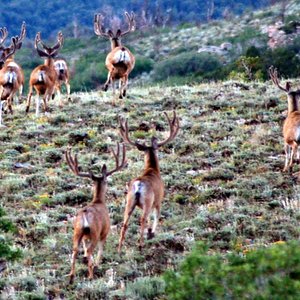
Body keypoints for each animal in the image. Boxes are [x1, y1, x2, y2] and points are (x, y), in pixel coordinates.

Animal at [65, 143, 126, 284]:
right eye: (107, 181)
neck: (98, 201)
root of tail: (85, 215)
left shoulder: (84, 237)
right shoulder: (105, 231)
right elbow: (101, 249)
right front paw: (97, 264)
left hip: (77, 231)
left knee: (75, 250)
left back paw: (71, 276)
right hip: (95, 232)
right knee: (89, 251)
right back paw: (91, 275)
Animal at [116, 111, 178, 252]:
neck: (151, 169)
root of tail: (139, 185)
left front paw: (150, 233)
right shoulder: (158, 200)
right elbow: (156, 217)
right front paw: (152, 233)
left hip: (129, 200)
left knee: (125, 222)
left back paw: (120, 248)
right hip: (148, 201)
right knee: (143, 218)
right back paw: (140, 244)